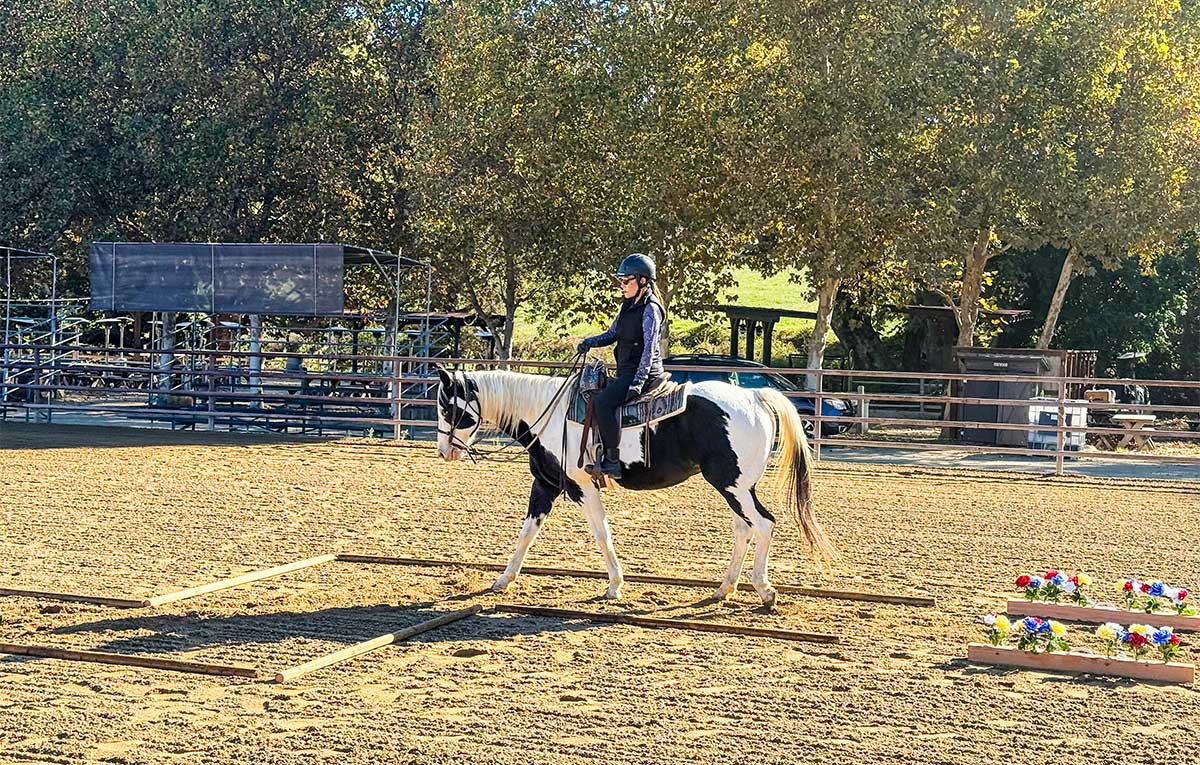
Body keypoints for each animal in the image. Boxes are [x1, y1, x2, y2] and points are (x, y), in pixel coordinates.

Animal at [434, 366, 834, 607]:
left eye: (449, 409)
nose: (444, 451)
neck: (547, 414)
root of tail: (754, 397)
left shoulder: (582, 487)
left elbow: (601, 533)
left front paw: (614, 585)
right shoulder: (546, 485)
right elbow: (526, 533)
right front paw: (503, 580)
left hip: (732, 484)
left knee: (763, 524)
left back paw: (764, 591)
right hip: (736, 487)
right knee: (744, 528)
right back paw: (725, 587)